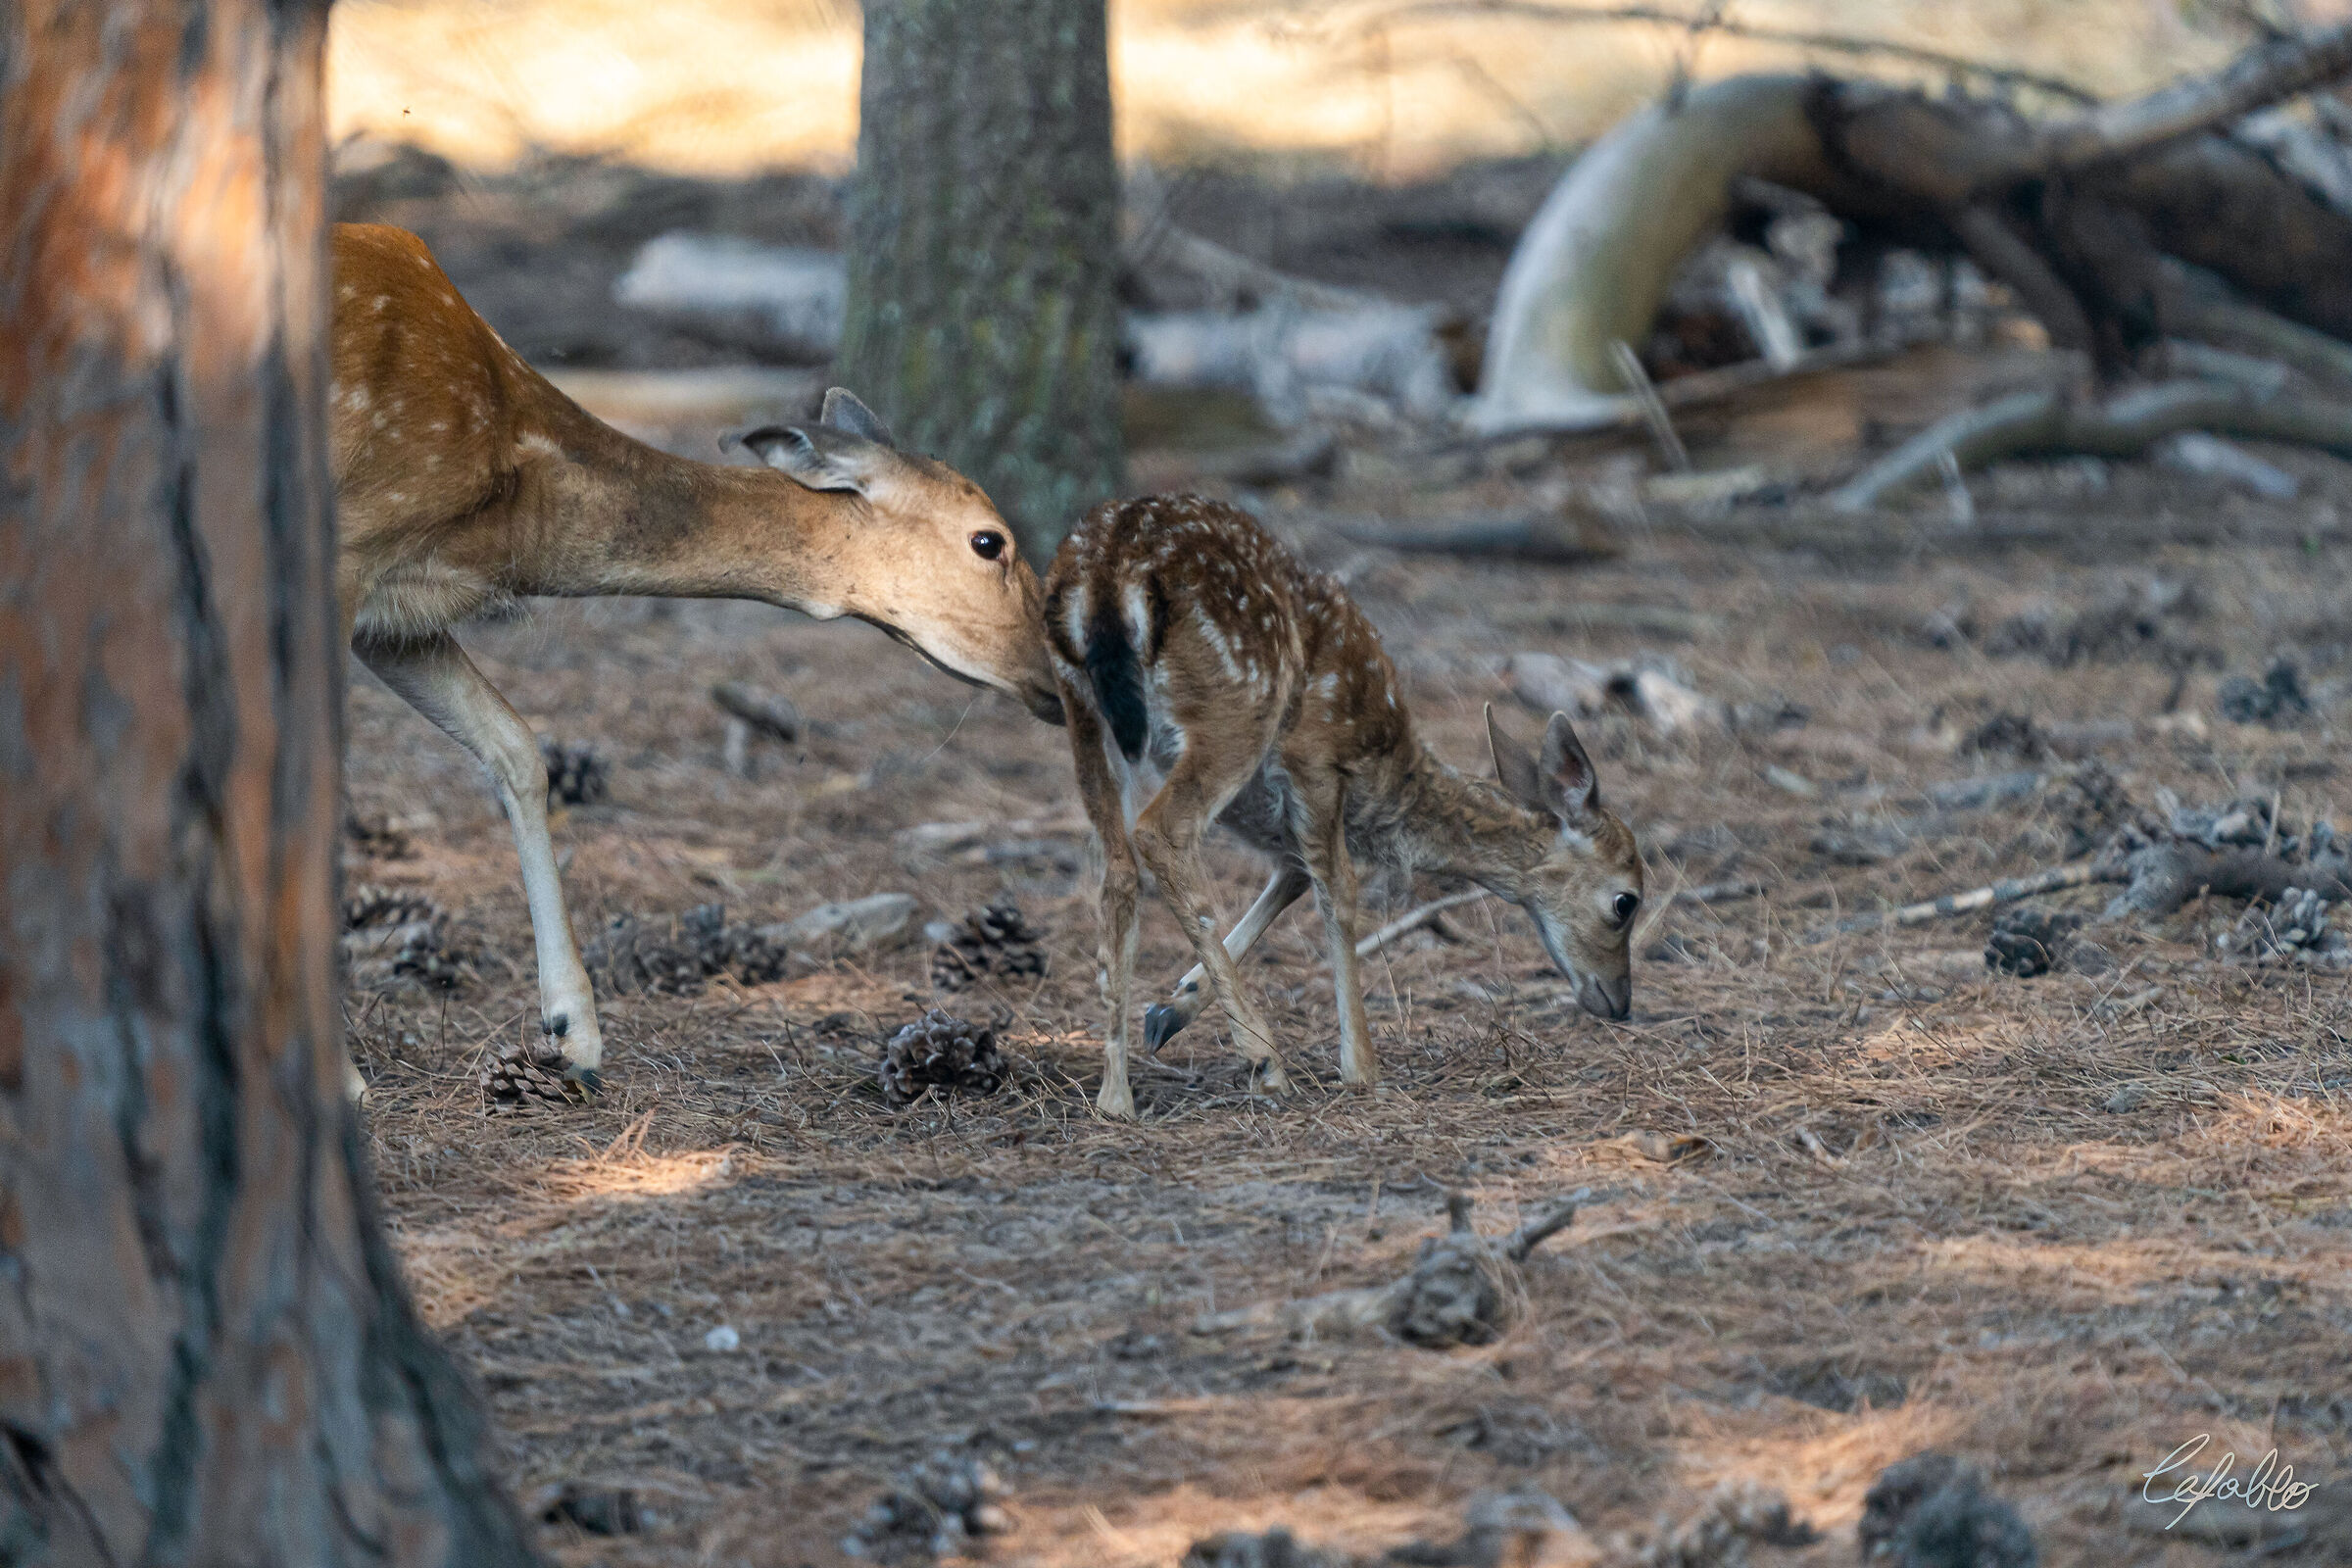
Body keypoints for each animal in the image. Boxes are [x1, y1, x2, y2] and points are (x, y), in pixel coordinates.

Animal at [331, 222, 1061, 1098]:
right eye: (991, 541)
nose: (1057, 678)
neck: (517, 502)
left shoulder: (395, 621)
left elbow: (517, 749)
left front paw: (575, 1038)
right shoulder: (346, 550)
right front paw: (341, 1079)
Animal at [1043, 493, 1643, 1119]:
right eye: (1626, 901)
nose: (1620, 1003)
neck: (1387, 791)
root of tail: (1105, 574)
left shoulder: (1273, 815)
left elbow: (1292, 878)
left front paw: (1170, 1008)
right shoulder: (1316, 758)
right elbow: (1339, 891)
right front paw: (1362, 1067)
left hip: (1084, 711)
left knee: (1117, 866)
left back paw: (1116, 1095)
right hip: (1236, 708)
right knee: (1160, 833)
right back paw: (1265, 1061)